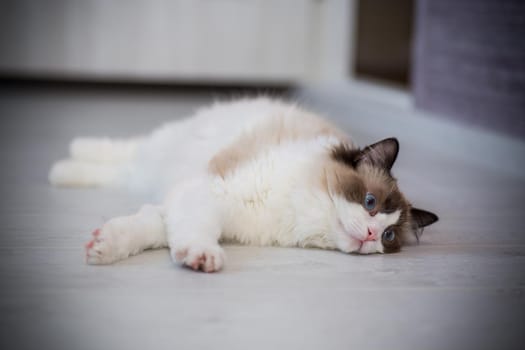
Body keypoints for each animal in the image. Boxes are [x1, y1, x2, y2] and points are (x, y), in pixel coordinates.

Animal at [49, 97, 436, 272]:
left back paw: (65, 170)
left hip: (148, 172)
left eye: (388, 236)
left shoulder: (186, 204)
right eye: (370, 202)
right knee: (122, 151)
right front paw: (203, 257)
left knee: (121, 170)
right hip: (161, 148)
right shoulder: (208, 192)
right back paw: (64, 162)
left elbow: (149, 230)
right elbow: (194, 233)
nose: (371, 235)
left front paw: (102, 247)